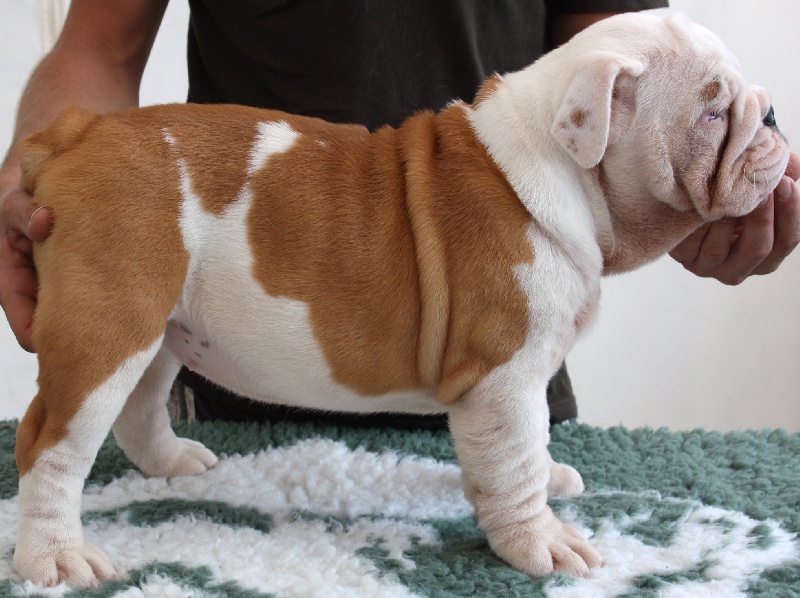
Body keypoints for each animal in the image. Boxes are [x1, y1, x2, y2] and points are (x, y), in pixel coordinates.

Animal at [13, 13, 789, 587]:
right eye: (713, 110)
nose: (775, 114)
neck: (561, 171)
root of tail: (77, 131)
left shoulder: (521, 380)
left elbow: (530, 444)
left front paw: (550, 478)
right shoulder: (503, 374)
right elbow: (514, 460)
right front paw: (540, 544)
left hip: (157, 322)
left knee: (139, 406)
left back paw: (170, 465)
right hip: (107, 323)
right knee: (50, 443)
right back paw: (55, 558)